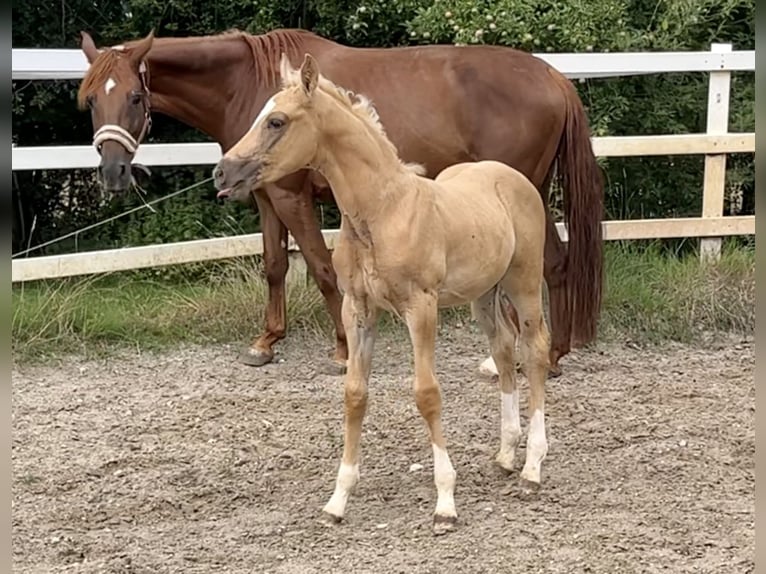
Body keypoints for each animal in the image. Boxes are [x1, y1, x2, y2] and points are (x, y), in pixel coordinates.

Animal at [78, 29, 608, 378]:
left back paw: (542, 356)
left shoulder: (292, 197)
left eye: (134, 96)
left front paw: (340, 349)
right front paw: (266, 342)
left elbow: (320, 267)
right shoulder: (266, 197)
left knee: (548, 264)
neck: (247, 82)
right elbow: (274, 265)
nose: (112, 172)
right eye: (90, 101)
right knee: (552, 264)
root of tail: (554, 78)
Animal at [214, 54, 552, 536]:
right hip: (483, 294)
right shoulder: (358, 309)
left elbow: (427, 393)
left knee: (535, 351)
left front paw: (445, 503)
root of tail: (511, 177)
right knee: (505, 351)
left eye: (276, 121)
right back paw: (507, 455)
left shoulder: (421, 308)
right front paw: (337, 500)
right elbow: (355, 395)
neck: (382, 211)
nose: (222, 172)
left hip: (522, 282)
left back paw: (532, 469)